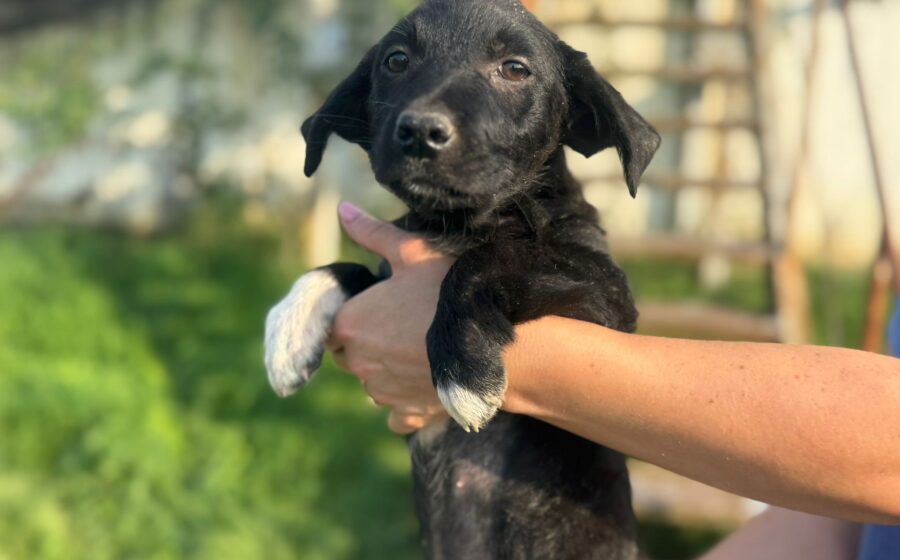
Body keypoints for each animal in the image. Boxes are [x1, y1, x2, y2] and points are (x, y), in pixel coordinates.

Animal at [265, 1, 660, 557]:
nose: (420, 131)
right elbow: (353, 268)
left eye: (514, 69)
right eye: (396, 60)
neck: (459, 223)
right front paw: (289, 327)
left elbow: (492, 258)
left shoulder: (608, 297)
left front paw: (462, 368)